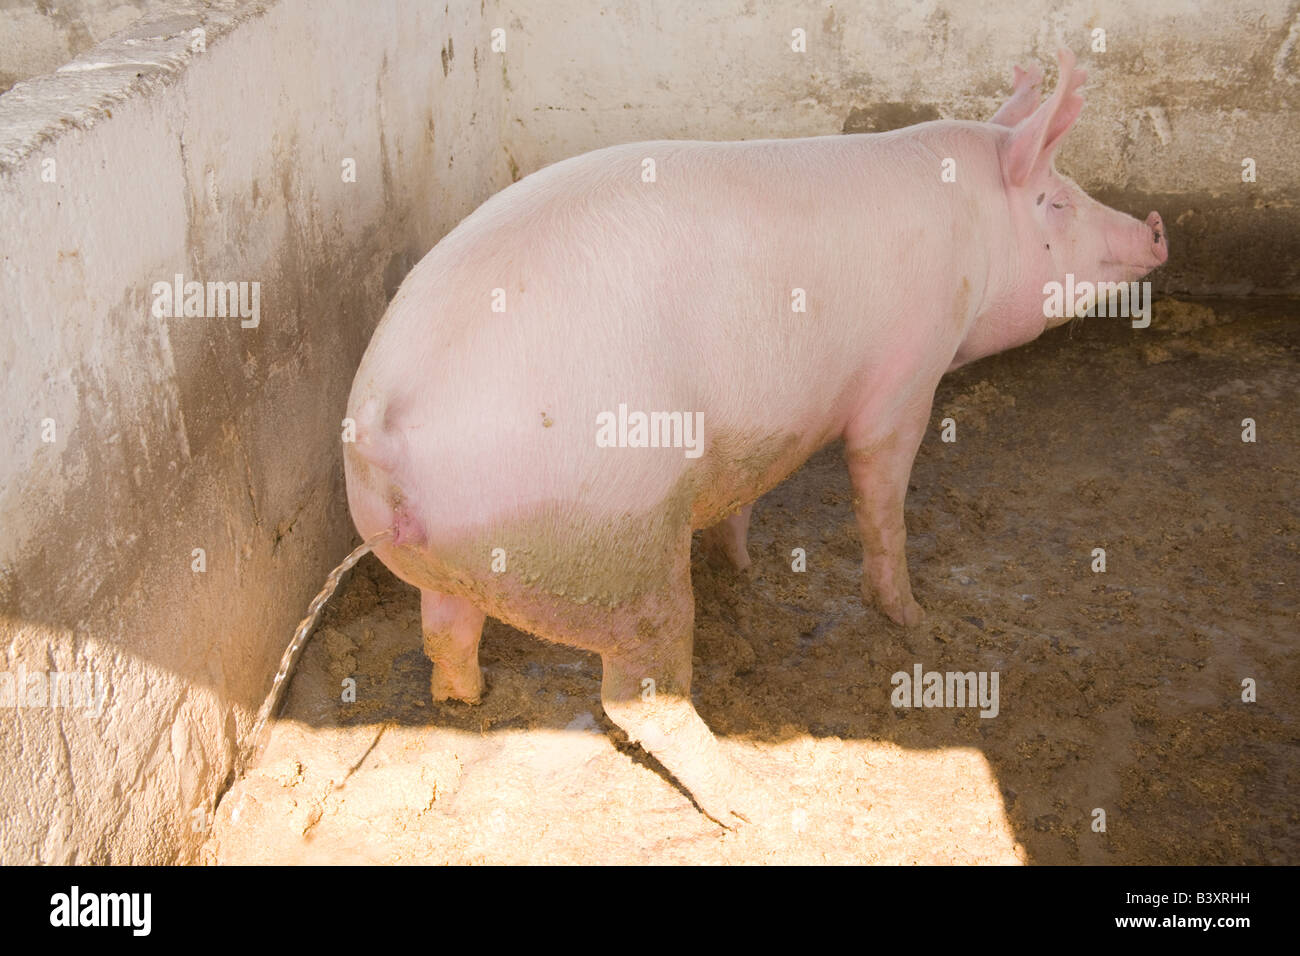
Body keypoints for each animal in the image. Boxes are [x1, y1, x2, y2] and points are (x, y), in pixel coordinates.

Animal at [343, 48, 1170, 827]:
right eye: (1057, 201)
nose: (1156, 230)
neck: (973, 229)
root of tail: (383, 428)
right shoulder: (907, 371)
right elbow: (882, 491)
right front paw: (911, 616)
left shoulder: (756, 434)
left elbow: (744, 494)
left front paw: (741, 565)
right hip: (615, 542)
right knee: (641, 697)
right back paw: (752, 804)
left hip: (459, 558)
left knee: (447, 636)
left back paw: (464, 704)